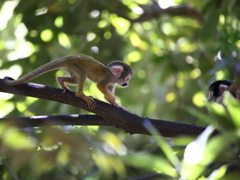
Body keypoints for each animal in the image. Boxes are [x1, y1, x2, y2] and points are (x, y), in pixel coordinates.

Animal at [3, 53, 133, 109]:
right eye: (127, 79)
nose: (126, 84)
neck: (114, 76)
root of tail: (69, 57)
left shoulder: (113, 82)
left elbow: (106, 94)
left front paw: (116, 104)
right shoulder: (109, 78)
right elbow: (100, 86)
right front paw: (114, 99)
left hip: (70, 67)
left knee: (76, 79)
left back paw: (61, 81)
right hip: (74, 65)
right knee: (83, 75)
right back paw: (80, 95)